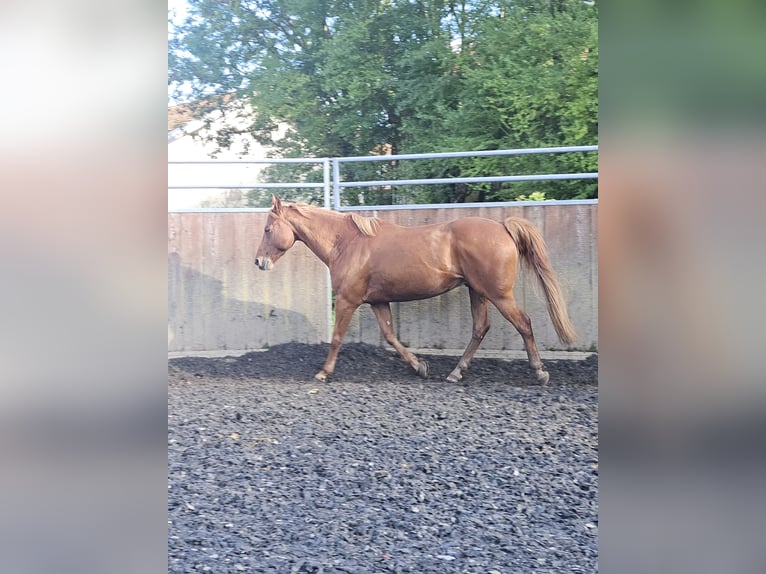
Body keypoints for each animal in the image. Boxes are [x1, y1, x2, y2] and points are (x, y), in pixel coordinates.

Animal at [255, 196, 577, 384]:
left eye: (268, 229)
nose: (258, 262)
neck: (347, 243)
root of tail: (502, 226)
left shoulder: (348, 300)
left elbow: (336, 338)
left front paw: (323, 372)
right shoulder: (377, 301)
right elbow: (391, 336)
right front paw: (420, 366)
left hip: (499, 295)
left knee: (523, 323)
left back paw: (540, 372)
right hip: (477, 292)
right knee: (480, 328)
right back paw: (455, 373)